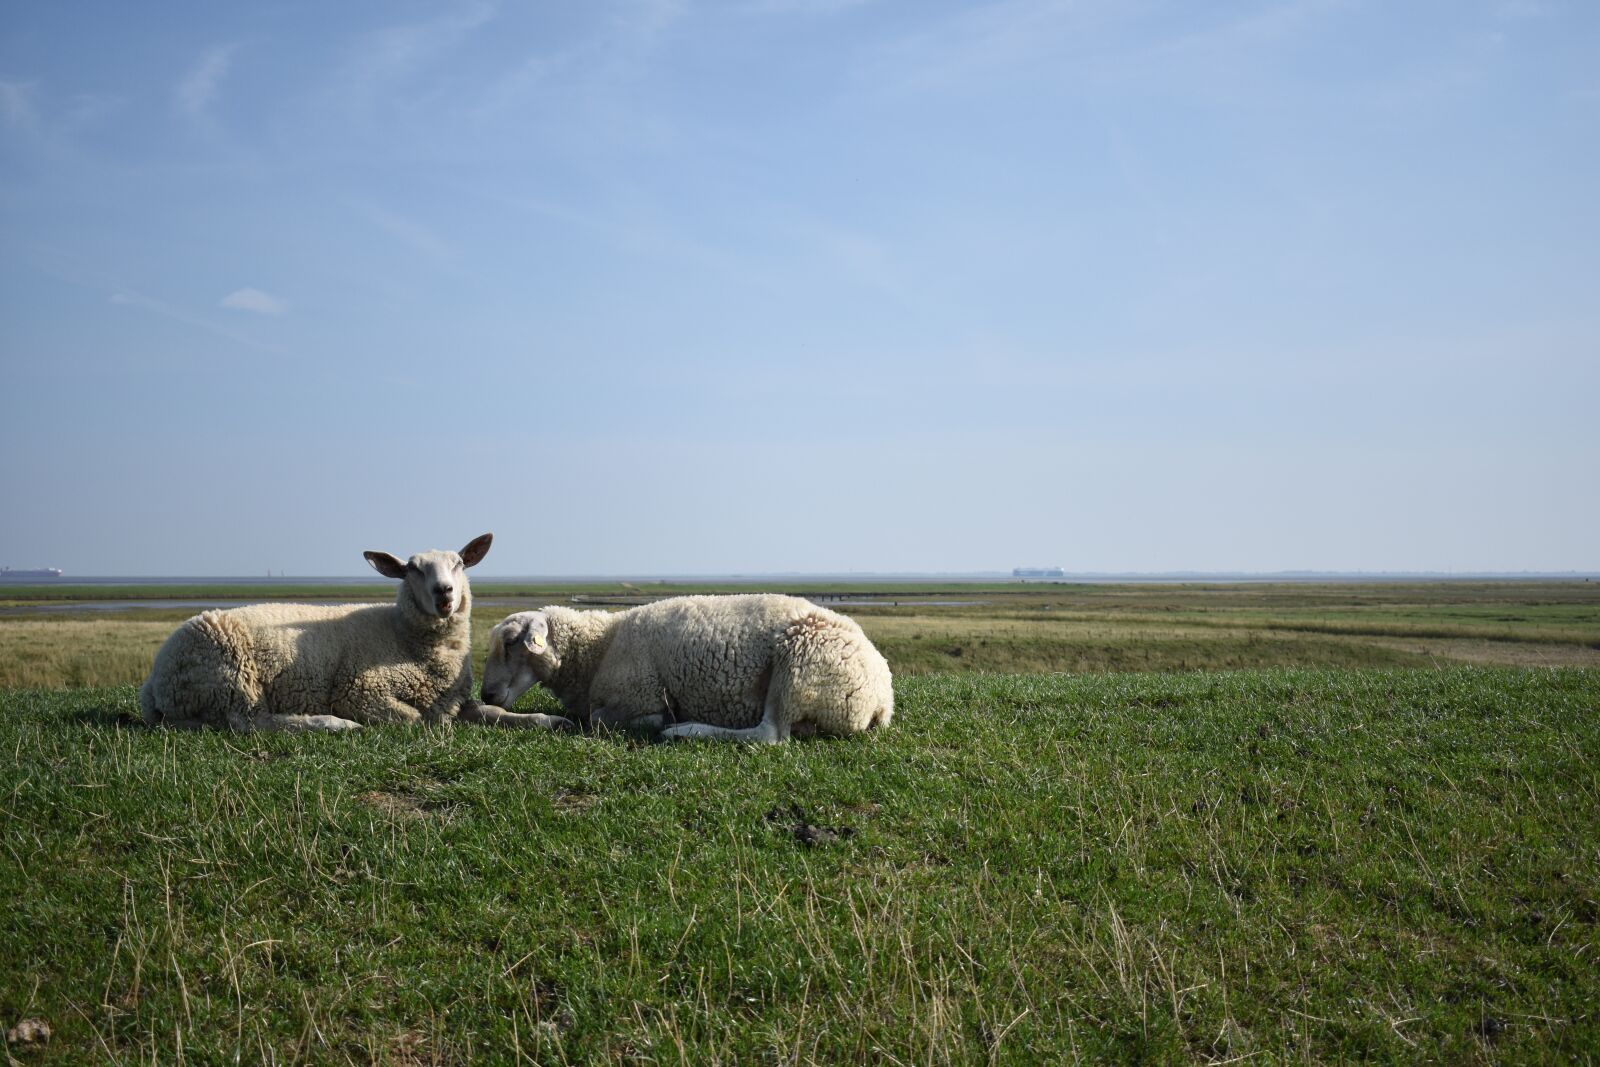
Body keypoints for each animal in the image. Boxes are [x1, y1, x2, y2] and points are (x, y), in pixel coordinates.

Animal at [138, 533, 575, 733]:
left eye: (459, 564)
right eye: (412, 569)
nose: (444, 593)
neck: (402, 636)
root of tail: (155, 680)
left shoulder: (451, 698)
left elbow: (495, 712)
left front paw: (550, 720)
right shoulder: (361, 692)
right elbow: (416, 720)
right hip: (231, 682)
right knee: (251, 723)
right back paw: (330, 724)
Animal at [480, 594, 894, 743]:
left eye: (512, 641)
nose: (486, 695)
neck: (601, 645)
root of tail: (882, 701)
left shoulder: (639, 695)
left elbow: (600, 719)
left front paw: (661, 722)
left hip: (798, 665)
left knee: (770, 735)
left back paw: (686, 730)